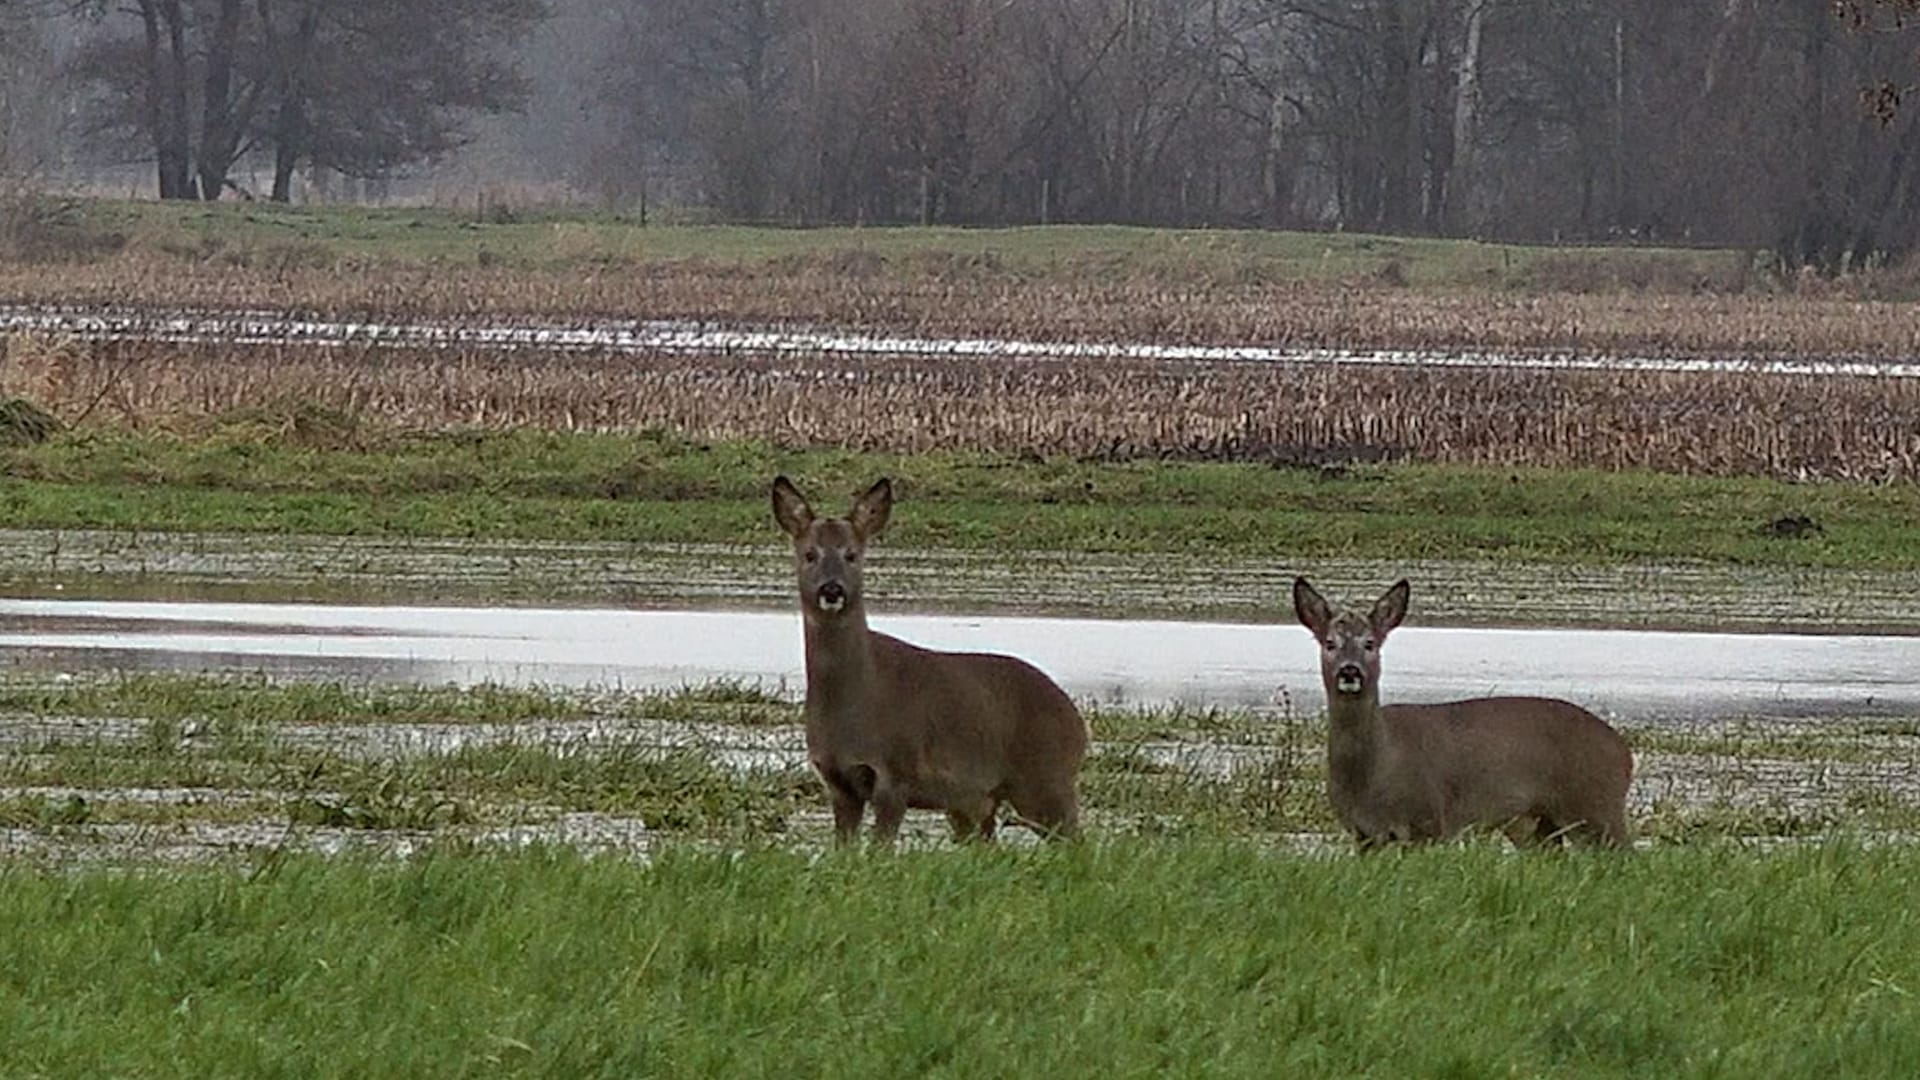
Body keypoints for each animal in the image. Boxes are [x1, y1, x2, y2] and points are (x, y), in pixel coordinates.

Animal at [771, 476, 1090, 841]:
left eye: (851, 554)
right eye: (809, 554)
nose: (832, 589)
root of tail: (1077, 721)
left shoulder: (896, 774)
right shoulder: (838, 782)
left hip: (1046, 780)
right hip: (974, 802)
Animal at [1290, 576, 1635, 845]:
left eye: (1370, 643)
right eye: (1330, 643)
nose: (1350, 672)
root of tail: (1624, 753)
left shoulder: (1429, 820)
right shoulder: (1362, 834)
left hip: (1597, 805)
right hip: (1536, 823)